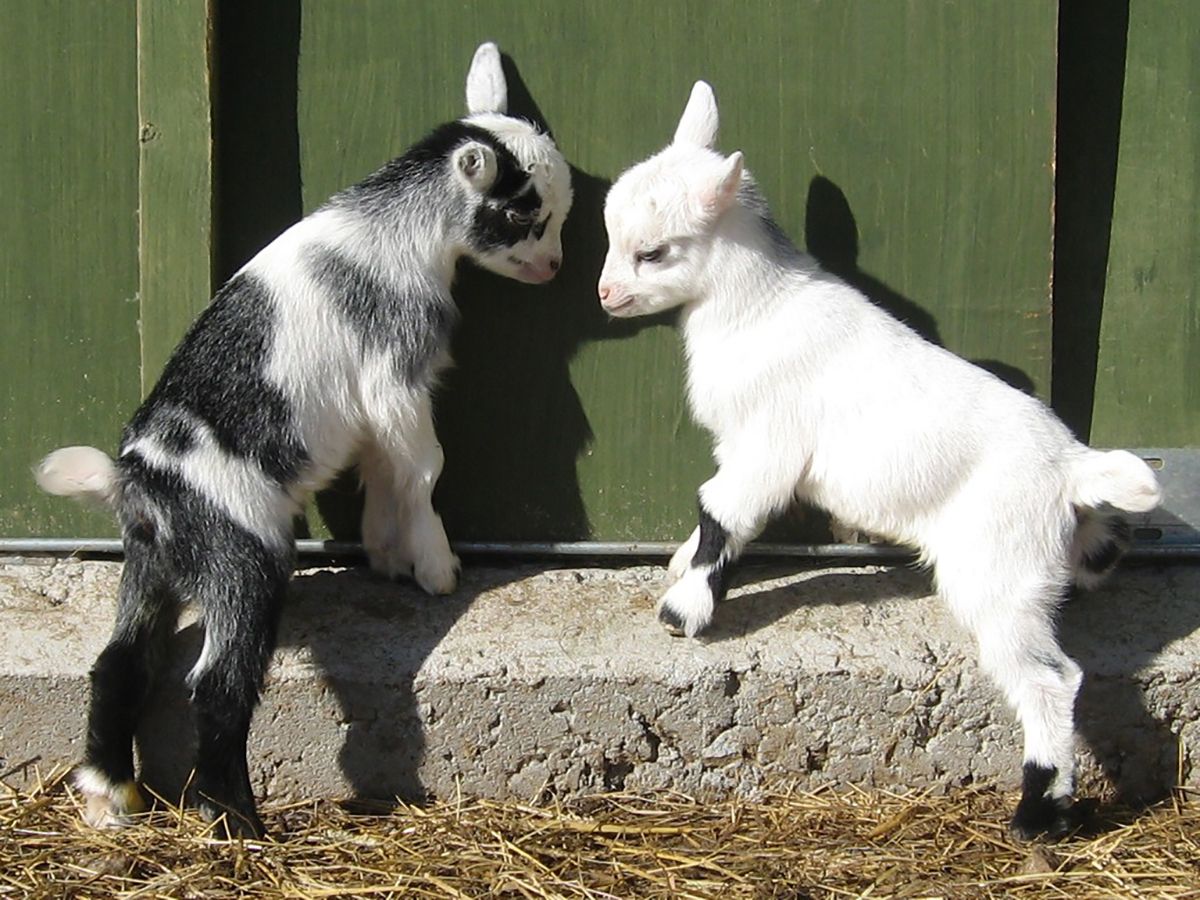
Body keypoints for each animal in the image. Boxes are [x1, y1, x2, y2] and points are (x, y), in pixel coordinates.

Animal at [35, 43, 573, 838]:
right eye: (521, 213)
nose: (556, 267)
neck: (401, 230)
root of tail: (140, 479)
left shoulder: (376, 407)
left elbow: (383, 468)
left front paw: (386, 553)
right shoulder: (396, 373)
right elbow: (423, 466)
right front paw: (436, 568)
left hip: (149, 565)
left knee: (119, 661)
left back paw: (108, 794)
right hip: (242, 560)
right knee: (215, 688)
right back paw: (238, 823)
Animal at [596, 81, 1160, 839]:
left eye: (652, 252)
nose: (605, 295)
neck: (757, 310)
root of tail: (1069, 464)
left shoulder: (768, 444)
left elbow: (722, 511)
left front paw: (683, 611)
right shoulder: (740, 444)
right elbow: (718, 521)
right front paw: (684, 563)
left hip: (997, 572)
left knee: (1049, 680)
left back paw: (1039, 809)